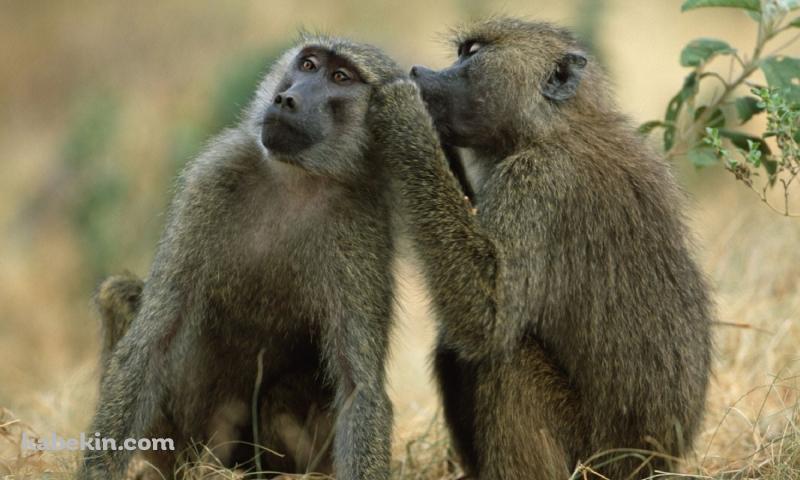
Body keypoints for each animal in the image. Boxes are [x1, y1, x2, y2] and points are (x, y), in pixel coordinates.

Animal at [369, 17, 713, 479]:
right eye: (461, 52)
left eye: (472, 53)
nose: (419, 72)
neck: (551, 127)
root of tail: (656, 463)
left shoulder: (538, 183)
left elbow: (488, 318)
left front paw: (406, 115)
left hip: (591, 457)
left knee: (506, 358)